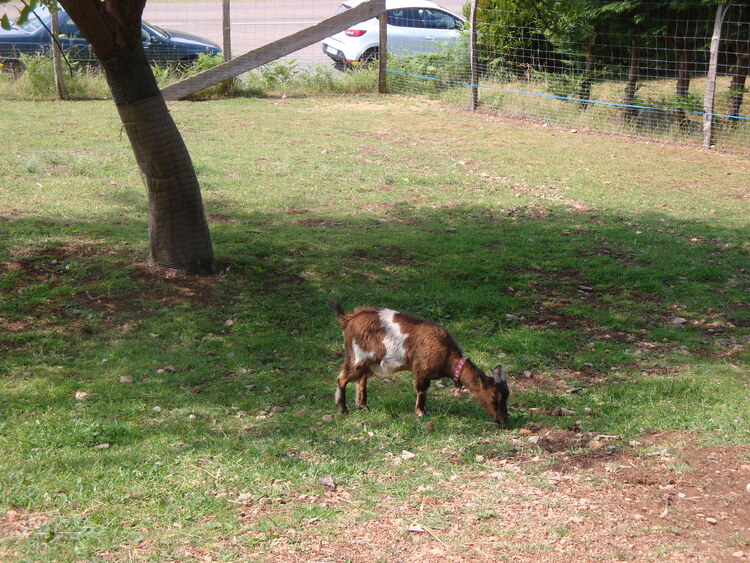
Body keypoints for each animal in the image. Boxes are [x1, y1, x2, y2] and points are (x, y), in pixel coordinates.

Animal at [330, 302, 512, 426]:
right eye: (494, 397)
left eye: (506, 396)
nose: (504, 420)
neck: (446, 354)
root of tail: (347, 320)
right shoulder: (421, 369)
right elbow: (421, 390)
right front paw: (420, 412)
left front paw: (423, 411)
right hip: (357, 357)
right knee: (341, 379)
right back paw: (343, 409)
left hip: (367, 362)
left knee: (361, 380)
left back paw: (363, 406)